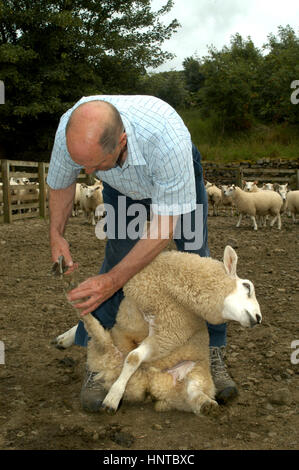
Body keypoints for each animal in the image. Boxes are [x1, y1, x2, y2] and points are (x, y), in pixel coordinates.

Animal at [54, 246, 262, 414]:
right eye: (247, 286)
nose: (258, 318)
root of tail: (151, 382)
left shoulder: (168, 334)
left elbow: (133, 357)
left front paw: (113, 397)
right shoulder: (129, 310)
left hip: (195, 373)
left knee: (193, 392)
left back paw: (206, 404)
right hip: (111, 352)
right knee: (89, 320)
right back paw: (67, 281)